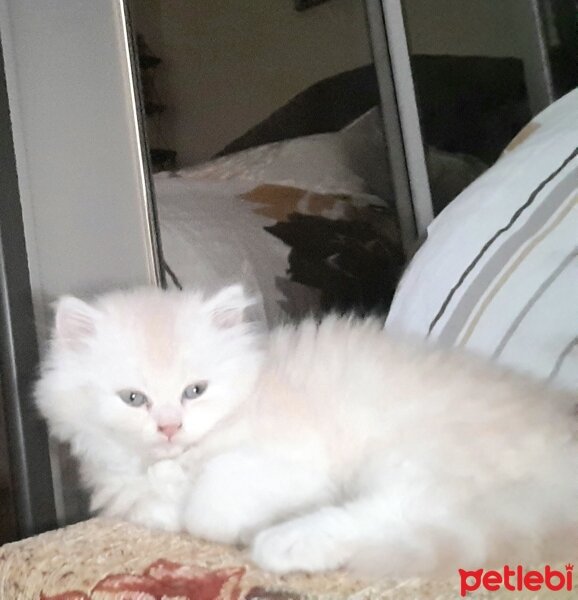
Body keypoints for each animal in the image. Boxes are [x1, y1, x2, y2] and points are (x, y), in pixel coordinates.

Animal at [37, 286, 576, 576]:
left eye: (195, 391)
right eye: (134, 399)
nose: (170, 426)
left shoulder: (294, 460)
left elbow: (206, 509)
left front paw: (234, 520)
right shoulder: (131, 495)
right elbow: (166, 511)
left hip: (420, 453)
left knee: (401, 511)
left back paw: (286, 541)